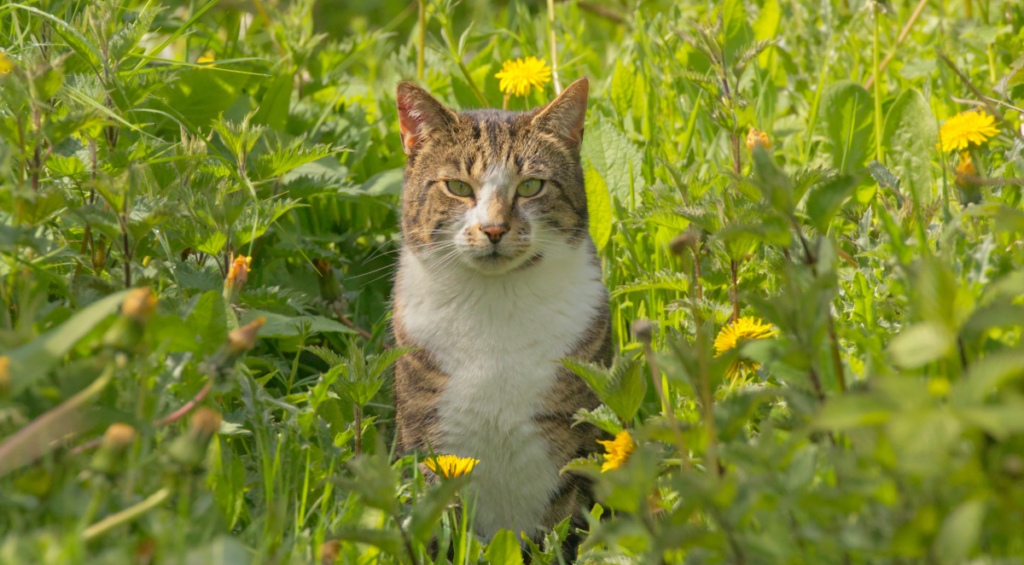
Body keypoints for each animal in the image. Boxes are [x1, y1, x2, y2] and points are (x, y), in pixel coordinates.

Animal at [391, 77, 610, 544]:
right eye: (457, 187)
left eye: (530, 186)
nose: (493, 229)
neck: (495, 303)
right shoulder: (426, 431)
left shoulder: (575, 430)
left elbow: (565, 522)